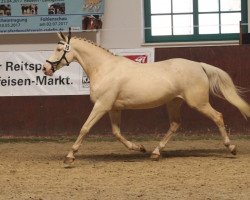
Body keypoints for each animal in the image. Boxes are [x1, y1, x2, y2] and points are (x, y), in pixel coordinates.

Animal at [43, 29, 250, 164]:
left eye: (59, 49)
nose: (45, 69)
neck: (105, 69)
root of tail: (199, 65)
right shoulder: (113, 108)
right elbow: (116, 133)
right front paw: (139, 148)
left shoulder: (102, 105)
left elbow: (85, 128)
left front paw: (70, 156)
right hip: (174, 102)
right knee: (175, 124)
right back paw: (155, 153)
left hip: (198, 103)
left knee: (218, 117)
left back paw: (231, 148)